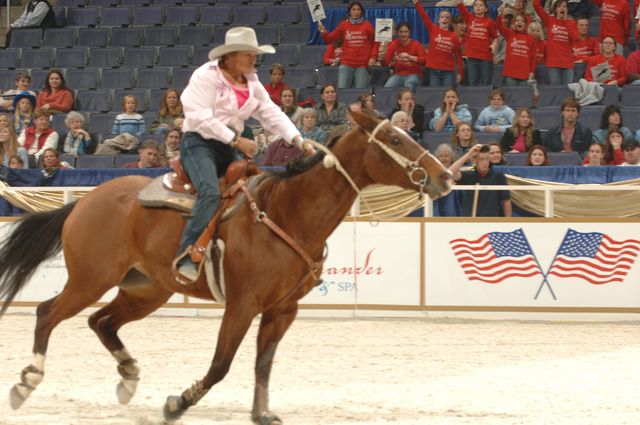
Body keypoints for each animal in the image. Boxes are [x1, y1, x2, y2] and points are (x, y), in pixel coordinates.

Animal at [0, 111, 450, 422]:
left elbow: (263, 364)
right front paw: (177, 403)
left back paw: (128, 375)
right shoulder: (242, 304)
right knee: (47, 312)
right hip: (91, 279)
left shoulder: (283, 310)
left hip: (146, 289)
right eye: (394, 138)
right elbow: (221, 364)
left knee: (101, 322)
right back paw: (28, 381)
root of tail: (86, 200)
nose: (444, 175)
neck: (286, 213)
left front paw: (261, 413)